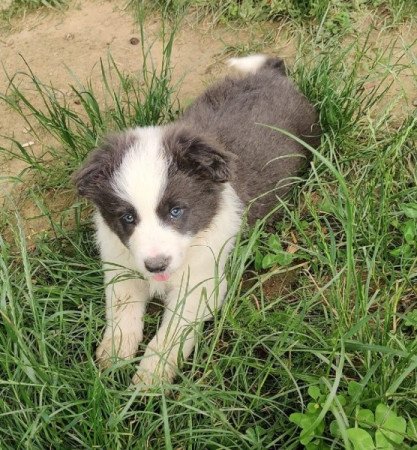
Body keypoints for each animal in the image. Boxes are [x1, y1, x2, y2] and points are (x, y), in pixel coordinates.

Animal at [75, 55, 320, 386]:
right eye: (127, 217)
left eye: (176, 211)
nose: (156, 266)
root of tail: (272, 73)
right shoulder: (121, 267)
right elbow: (122, 310)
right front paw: (115, 353)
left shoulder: (201, 284)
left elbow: (171, 334)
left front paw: (150, 378)